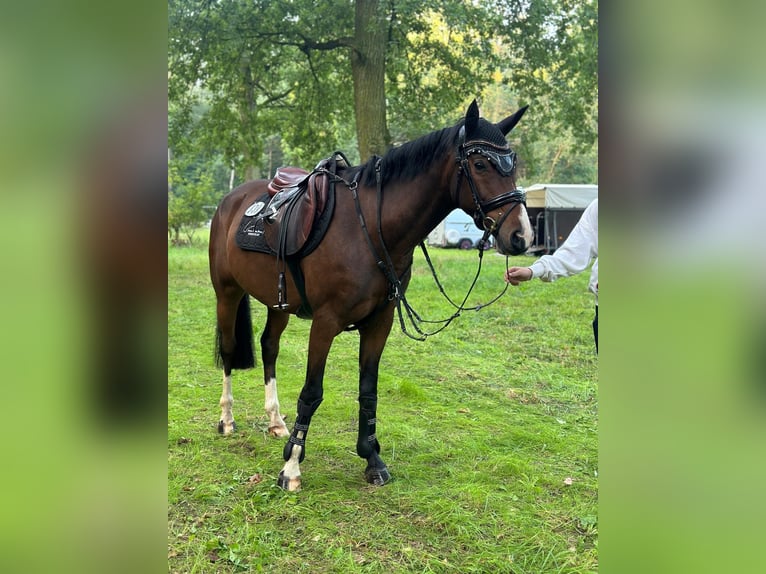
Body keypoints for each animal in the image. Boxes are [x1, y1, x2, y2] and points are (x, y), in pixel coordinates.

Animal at [208, 100, 536, 490]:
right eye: (481, 164)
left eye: (512, 162)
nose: (521, 236)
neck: (371, 230)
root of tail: (231, 200)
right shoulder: (325, 322)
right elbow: (311, 393)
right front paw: (292, 466)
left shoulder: (381, 321)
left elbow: (368, 389)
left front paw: (371, 458)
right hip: (227, 293)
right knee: (230, 350)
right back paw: (227, 420)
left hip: (279, 302)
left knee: (269, 346)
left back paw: (275, 421)